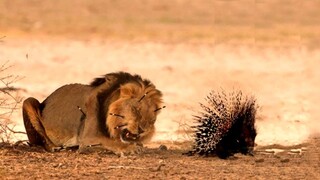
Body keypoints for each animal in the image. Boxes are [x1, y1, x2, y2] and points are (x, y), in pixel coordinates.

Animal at [21, 71, 164, 155]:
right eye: (135, 109)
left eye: (152, 119)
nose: (142, 130)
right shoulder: (88, 137)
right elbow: (109, 142)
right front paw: (130, 148)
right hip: (28, 101)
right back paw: (55, 148)